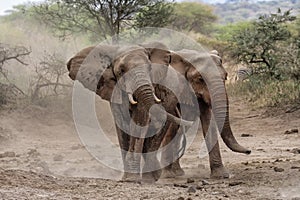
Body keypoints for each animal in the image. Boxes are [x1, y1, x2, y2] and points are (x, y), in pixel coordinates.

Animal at [67, 42, 193, 183]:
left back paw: (150, 178)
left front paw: (132, 179)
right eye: (121, 71)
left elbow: (139, 122)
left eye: (149, 68)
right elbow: (122, 123)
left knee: (159, 129)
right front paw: (127, 178)